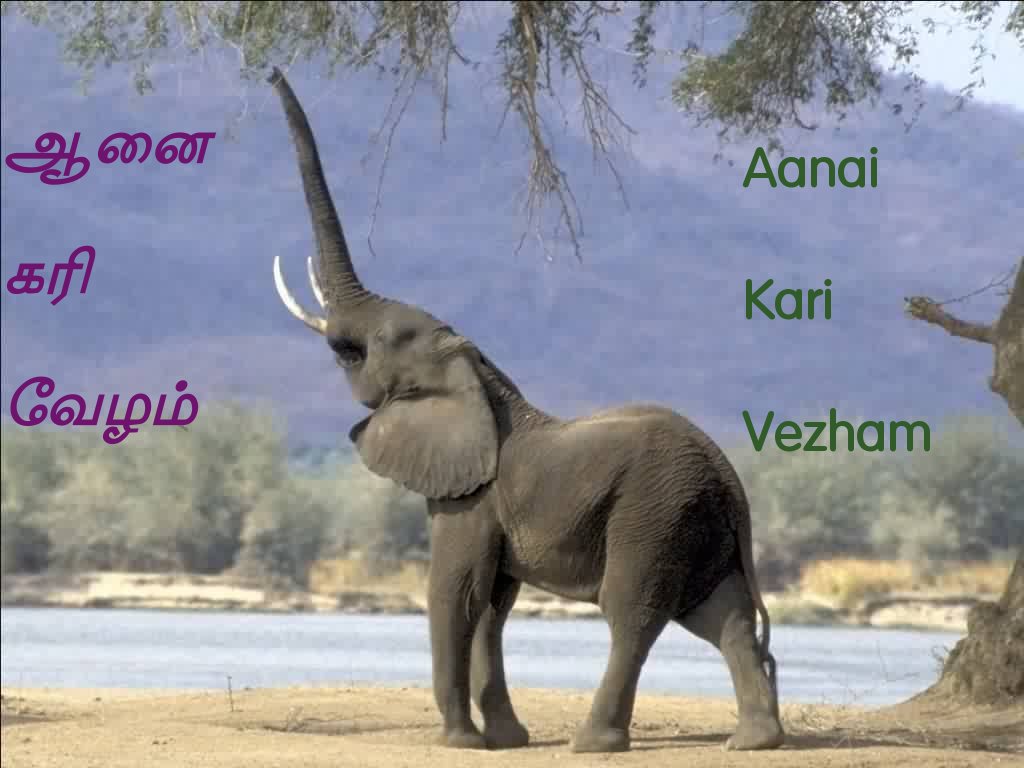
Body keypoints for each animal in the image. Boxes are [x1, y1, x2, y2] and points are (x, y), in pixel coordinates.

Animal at [265, 66, 785, 754]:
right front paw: (506, 739)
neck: (478, 373)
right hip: (697, 521)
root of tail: (732, 482)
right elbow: (492, 603)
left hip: (655, 511)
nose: (269, 70)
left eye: (371, 345)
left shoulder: (469, 495)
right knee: (721, 614)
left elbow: (456, 592)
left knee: (633, 612)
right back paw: (755, 741)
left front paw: (459, 743)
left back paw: (594, 743)